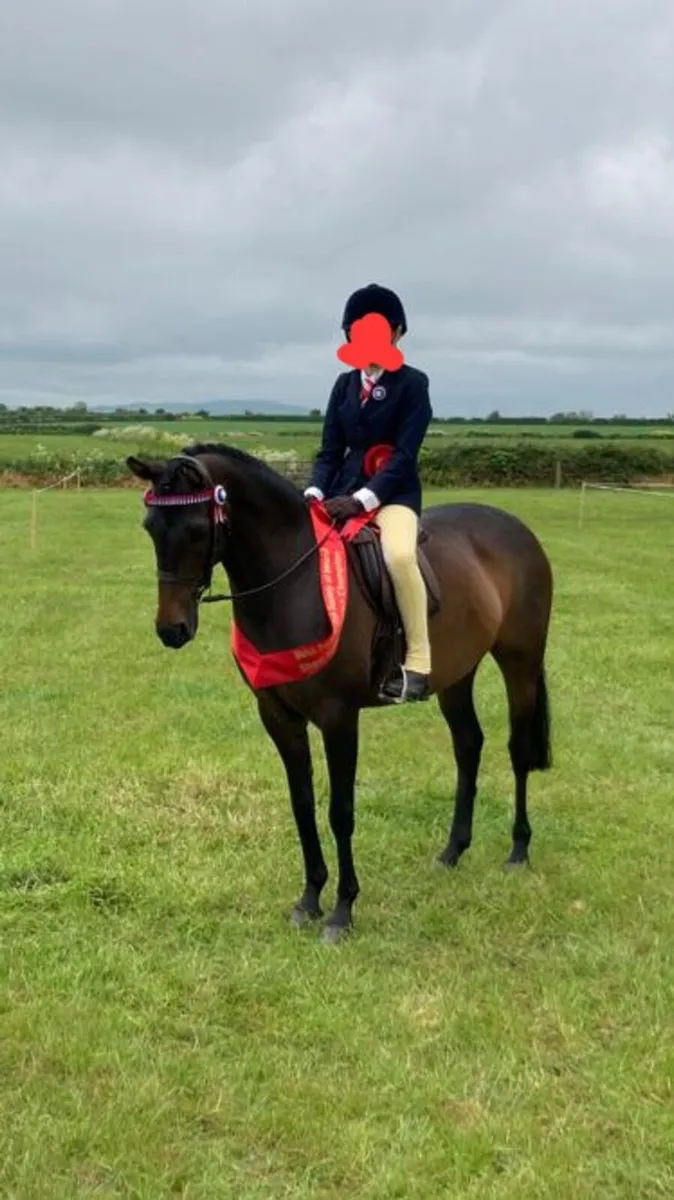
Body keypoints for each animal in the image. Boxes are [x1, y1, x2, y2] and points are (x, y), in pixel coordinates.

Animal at [127, 443, 554, 944]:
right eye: (150, 526)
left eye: (196, 529)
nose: (171, 629)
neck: (296, 583)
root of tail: (515, 527)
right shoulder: (278, 716)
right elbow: (303, 805)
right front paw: (310, 899)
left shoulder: (338, 717)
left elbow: (340, 811)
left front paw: (342, 911)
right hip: (457, 674)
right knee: (468, 745)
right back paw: (453, 851)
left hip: (520, 661)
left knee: (517, 749)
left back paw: (518, 850)